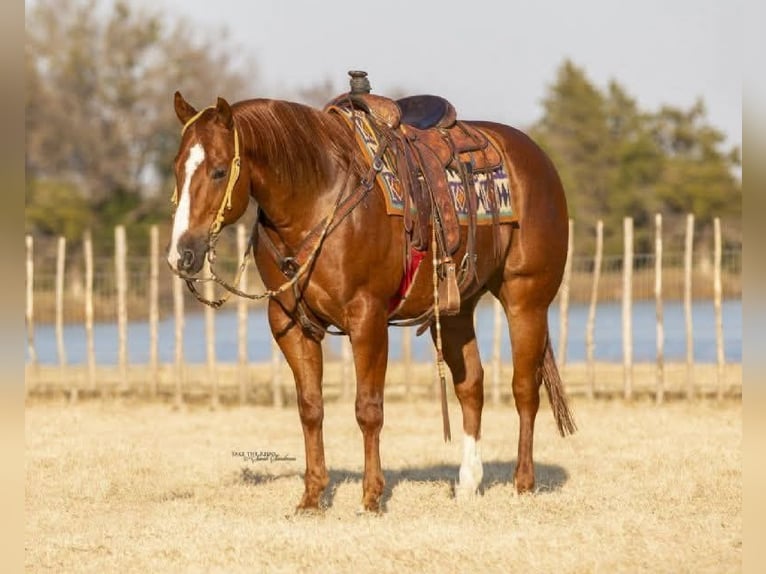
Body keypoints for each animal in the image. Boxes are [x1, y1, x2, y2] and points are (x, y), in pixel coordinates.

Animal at [166, 87, 575, 513]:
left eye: (218, 171)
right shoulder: (290, 325)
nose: (182, 255)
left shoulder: (368, 318)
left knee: (524, 388)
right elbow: (310, 408)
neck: (318, 196)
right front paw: (312, 497)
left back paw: (523, 482)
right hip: (458, 307)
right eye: (177, 168)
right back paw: (467, 483)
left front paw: (371, 497)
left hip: (526, 299)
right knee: (471, 387)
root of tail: (537, 157)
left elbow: (368, 409)